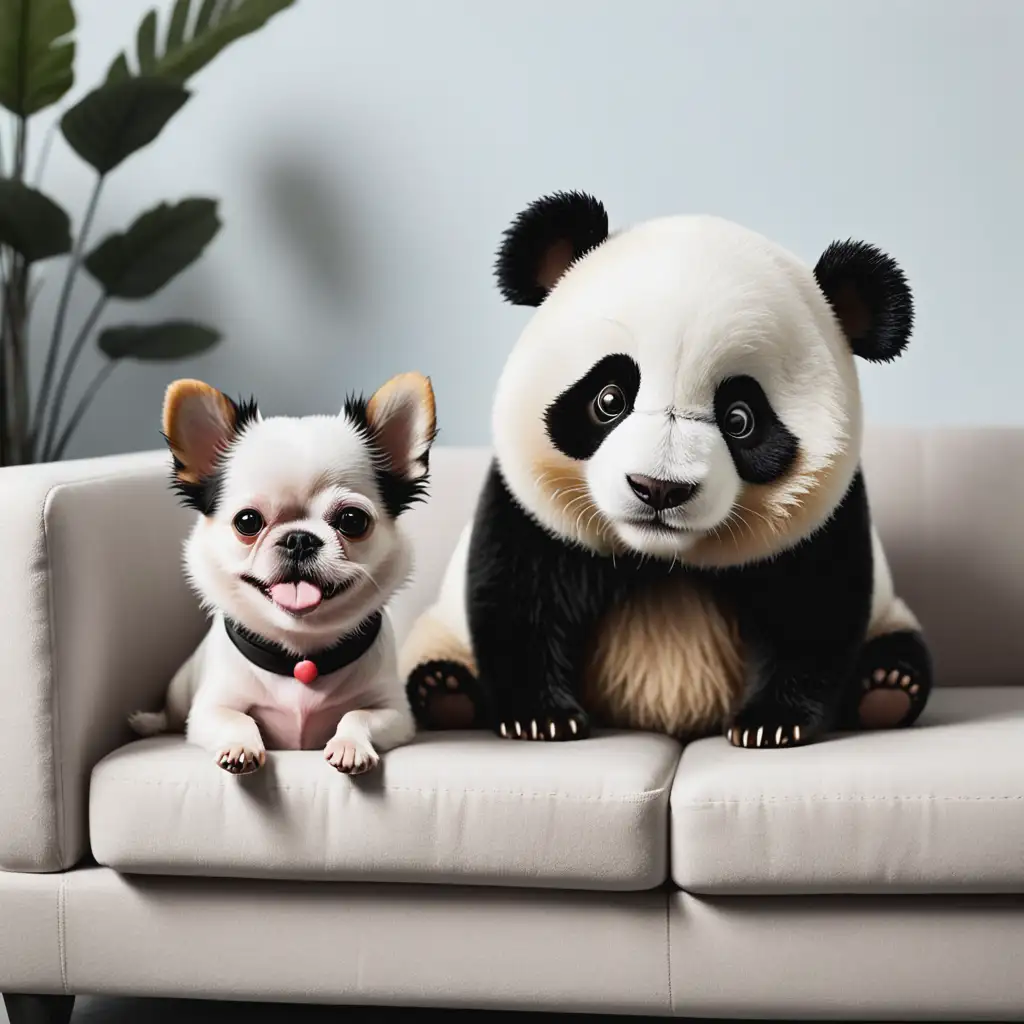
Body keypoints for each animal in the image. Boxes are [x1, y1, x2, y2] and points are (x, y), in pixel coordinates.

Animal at [129, 370, 436, 774]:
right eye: (247, 522)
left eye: (353, 520)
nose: (299, 539)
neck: (300, 656)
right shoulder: (208, 711)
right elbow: (237, 718)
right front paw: (240, 747)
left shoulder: (396, 713)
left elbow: (357, 714)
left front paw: (350, 746)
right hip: (181, 688)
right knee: (171, 713)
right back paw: (146, 722)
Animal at [397, 192, 929, 749]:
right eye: (609, 398)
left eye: (741, 419)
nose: (658, 489)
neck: (660, 558)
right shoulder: (528, 509)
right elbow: (519, 596)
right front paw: (541, 719)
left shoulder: (825, 520)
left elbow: (815, 607)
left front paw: (771, 723)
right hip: (437, 628)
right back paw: (447, 693)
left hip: (892, 614)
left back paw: (887, 688)